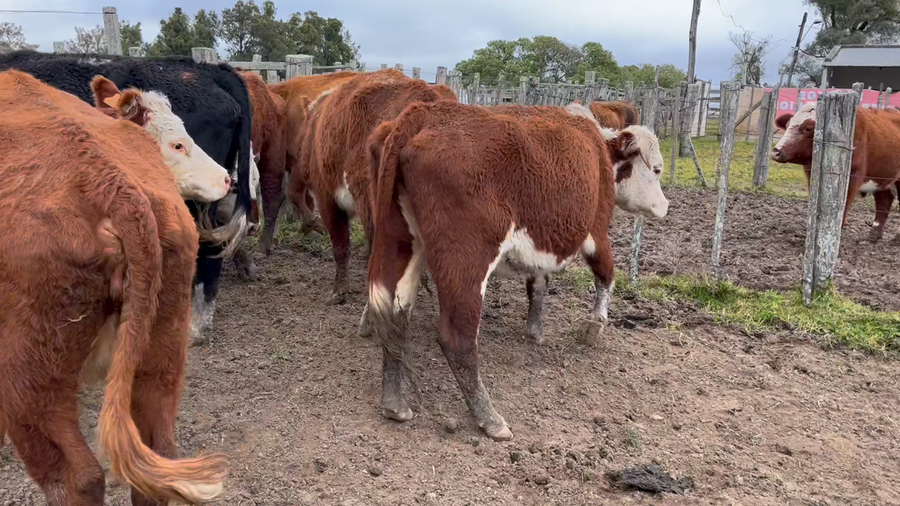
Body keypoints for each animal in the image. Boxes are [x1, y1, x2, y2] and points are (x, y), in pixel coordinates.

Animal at [0, 70, 227, 506]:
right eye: (177, 143)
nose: (227, 178)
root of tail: (111, 182)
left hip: (27, 375)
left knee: (77, 478)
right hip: (161, 346)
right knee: (158, 454)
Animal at [365, 100, 669, 440]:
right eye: (656, 169)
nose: (665, 206)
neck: (599, 146)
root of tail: (421, 115)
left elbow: (538, 284)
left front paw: (535, 329)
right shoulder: (597, 230)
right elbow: (606, 276)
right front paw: (595, 326)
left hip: (401, 242)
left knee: (394, 318)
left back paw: (395, 404)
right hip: (466, 260)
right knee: (457, 339)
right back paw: (489, 418)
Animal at [771, 102, 900, 242]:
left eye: (808, 128)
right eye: (787, 125)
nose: (776, 151)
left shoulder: (852, 178)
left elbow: (843, 208)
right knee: (884, 200)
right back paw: (874, 235)